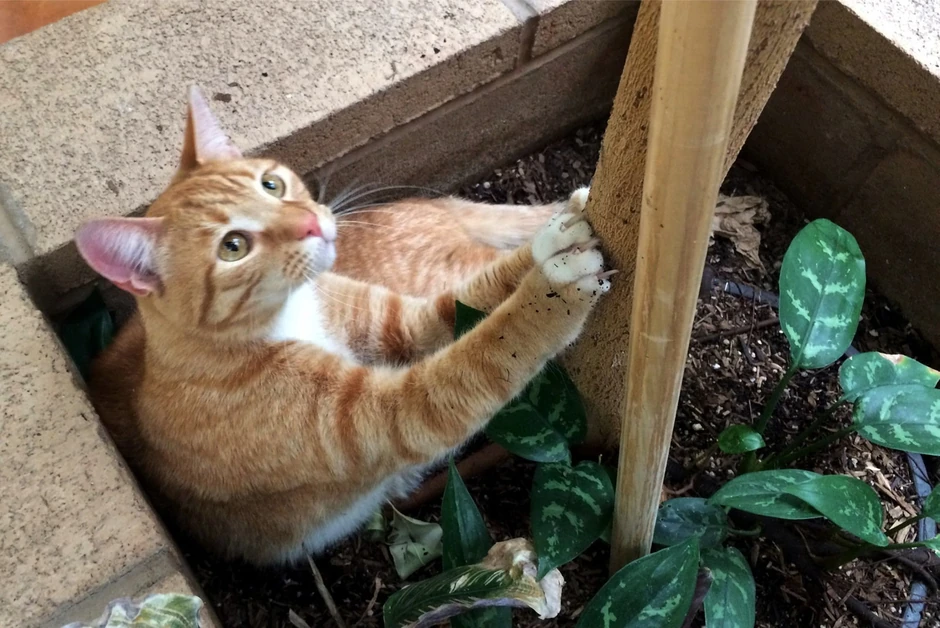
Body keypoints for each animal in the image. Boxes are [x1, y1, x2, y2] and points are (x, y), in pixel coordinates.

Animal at [75, 87, 612, 566]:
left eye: (271, 184)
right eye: (233, 246)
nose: (312, 223)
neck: (292, 313)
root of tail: (427, 204)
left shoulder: (404, 321)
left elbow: (474, 298)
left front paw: (550, 245)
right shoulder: (397, 414)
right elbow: (492, 348)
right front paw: (554, 288)